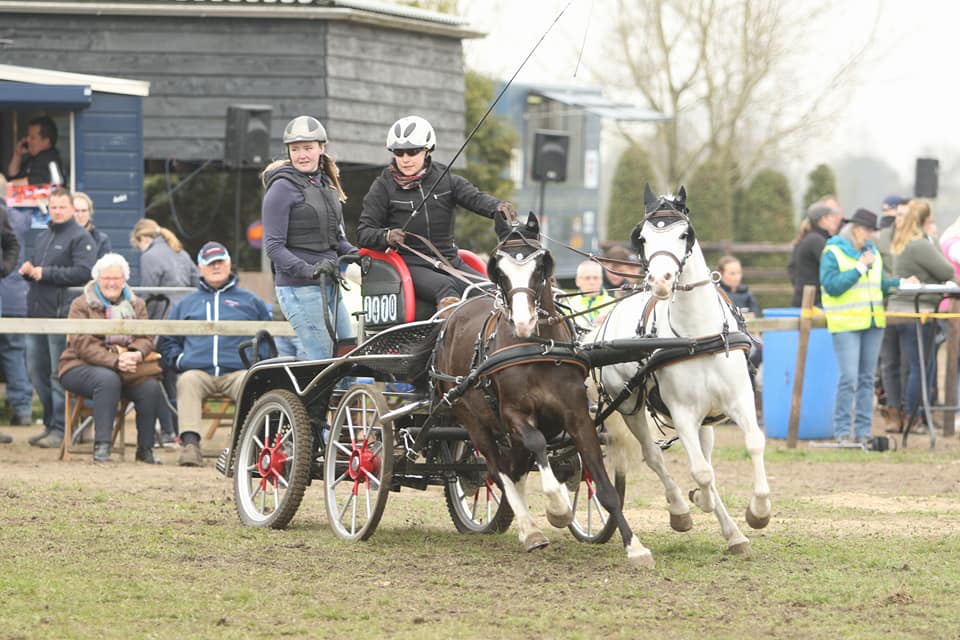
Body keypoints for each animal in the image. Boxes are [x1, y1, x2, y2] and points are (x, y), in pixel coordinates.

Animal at [434, 216, 652, 568]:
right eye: (499, 270)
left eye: (540, 267)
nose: (524, 322)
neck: (538, 347)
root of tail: (452, 316)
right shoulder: (514, 415)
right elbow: (536, 445)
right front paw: (559, 508)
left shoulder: (578, 416)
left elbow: (603, 485)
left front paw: (635, 546)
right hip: (472, 420)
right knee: (497, 470)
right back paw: (530, 530)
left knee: (514, 468)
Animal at [584, 185, 772, 556]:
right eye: (642, 237)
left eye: (684, 234)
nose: (660, 280)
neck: (697, 336)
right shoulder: (683, 412)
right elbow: (700, 472)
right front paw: (695, 503)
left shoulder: (739, 401)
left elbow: (753, 444)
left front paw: (758, 512)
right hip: (629, 406)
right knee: (654, 455)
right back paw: (681, 509)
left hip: (705, 419)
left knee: (705, 455)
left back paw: (733, 532)